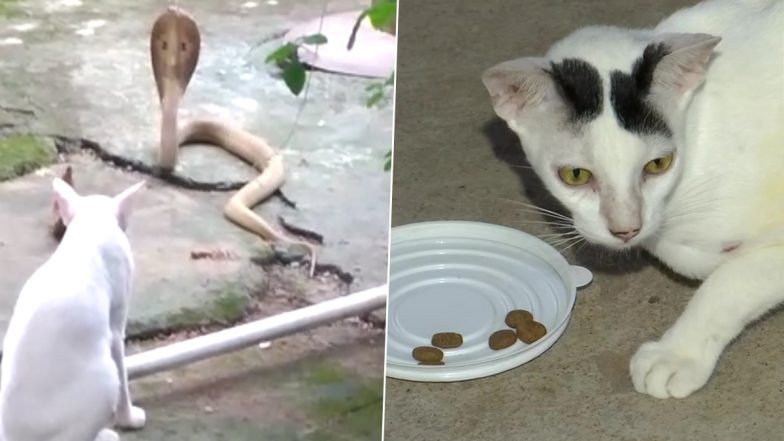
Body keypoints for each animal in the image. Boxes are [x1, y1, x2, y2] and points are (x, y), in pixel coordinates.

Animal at [0, 177, 147, 438]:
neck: (89, 229)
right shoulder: (116, 329)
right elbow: (124, 380)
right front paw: (129, 419)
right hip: (105, 377)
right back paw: (106, 435)